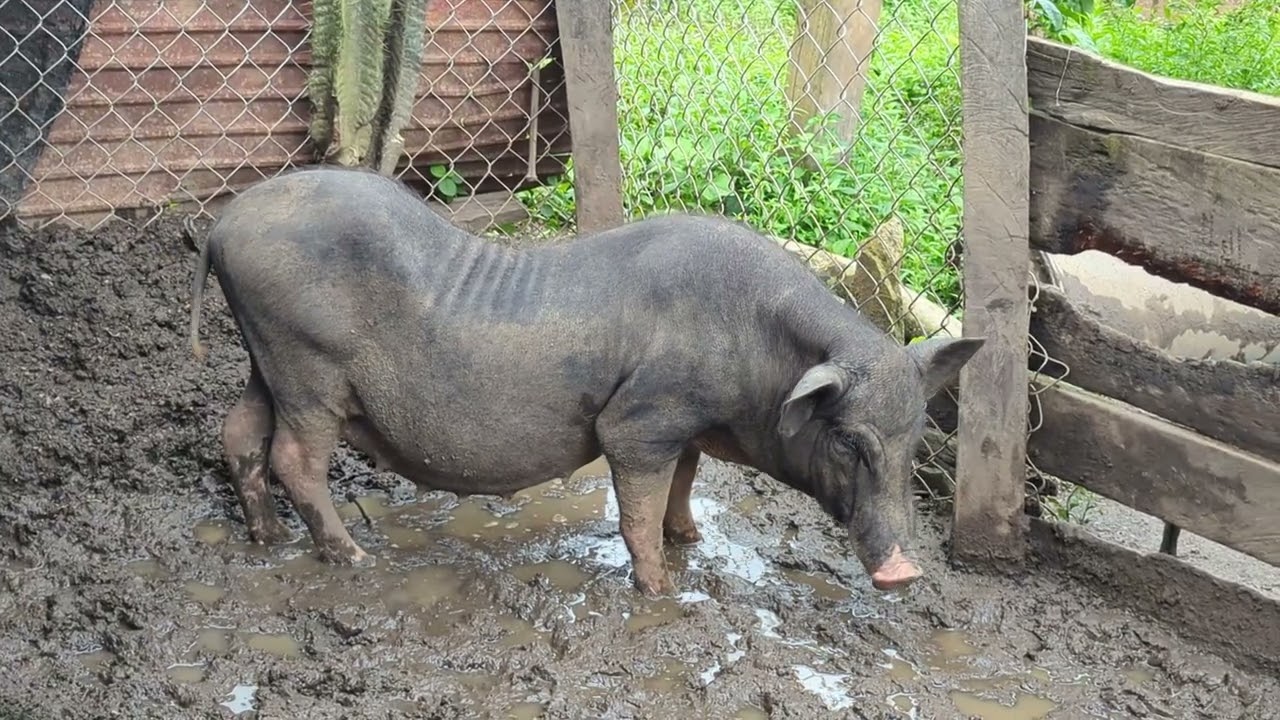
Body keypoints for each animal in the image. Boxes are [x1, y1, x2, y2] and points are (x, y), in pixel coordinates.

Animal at [188, 166, 984, 595]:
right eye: (849, 441)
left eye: (915, 437)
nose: (904, 571)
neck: (758, 359)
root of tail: (223, 225)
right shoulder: (640, 420)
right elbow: (636, 508)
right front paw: (662, 589)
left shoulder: (685, 426)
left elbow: (684, 484)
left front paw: (692, 539)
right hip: (305, 364)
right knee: (295, 457)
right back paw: (352, 557)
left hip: (266, 361)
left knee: (238, 430)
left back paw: (265, 539)